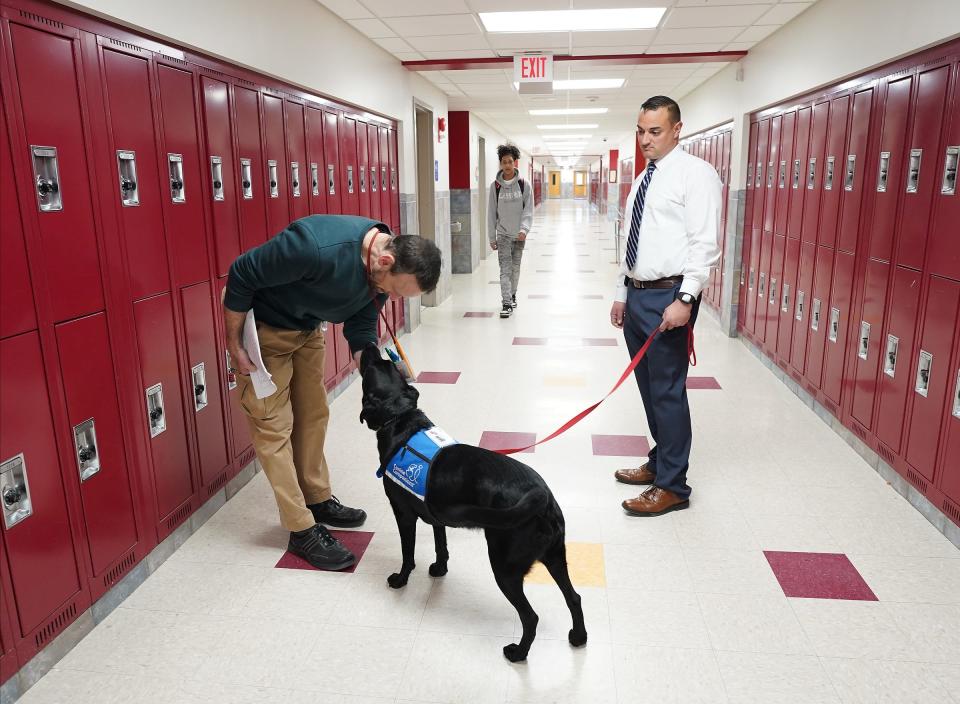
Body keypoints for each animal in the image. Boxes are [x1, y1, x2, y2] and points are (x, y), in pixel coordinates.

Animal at [358, 346, 584, 664]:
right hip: (554, 556)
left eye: (371, 368)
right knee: (573, 597)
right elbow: (441, 545)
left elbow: (407, 553)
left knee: (531, 617)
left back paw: (518, 653)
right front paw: (439, 569)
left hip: (505, 567)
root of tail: (543, 497)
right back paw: (579, 637)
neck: (400, 420)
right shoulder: (435, 516)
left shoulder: (403, 513)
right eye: (385, 364)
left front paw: (401, 579)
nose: (368, 347)